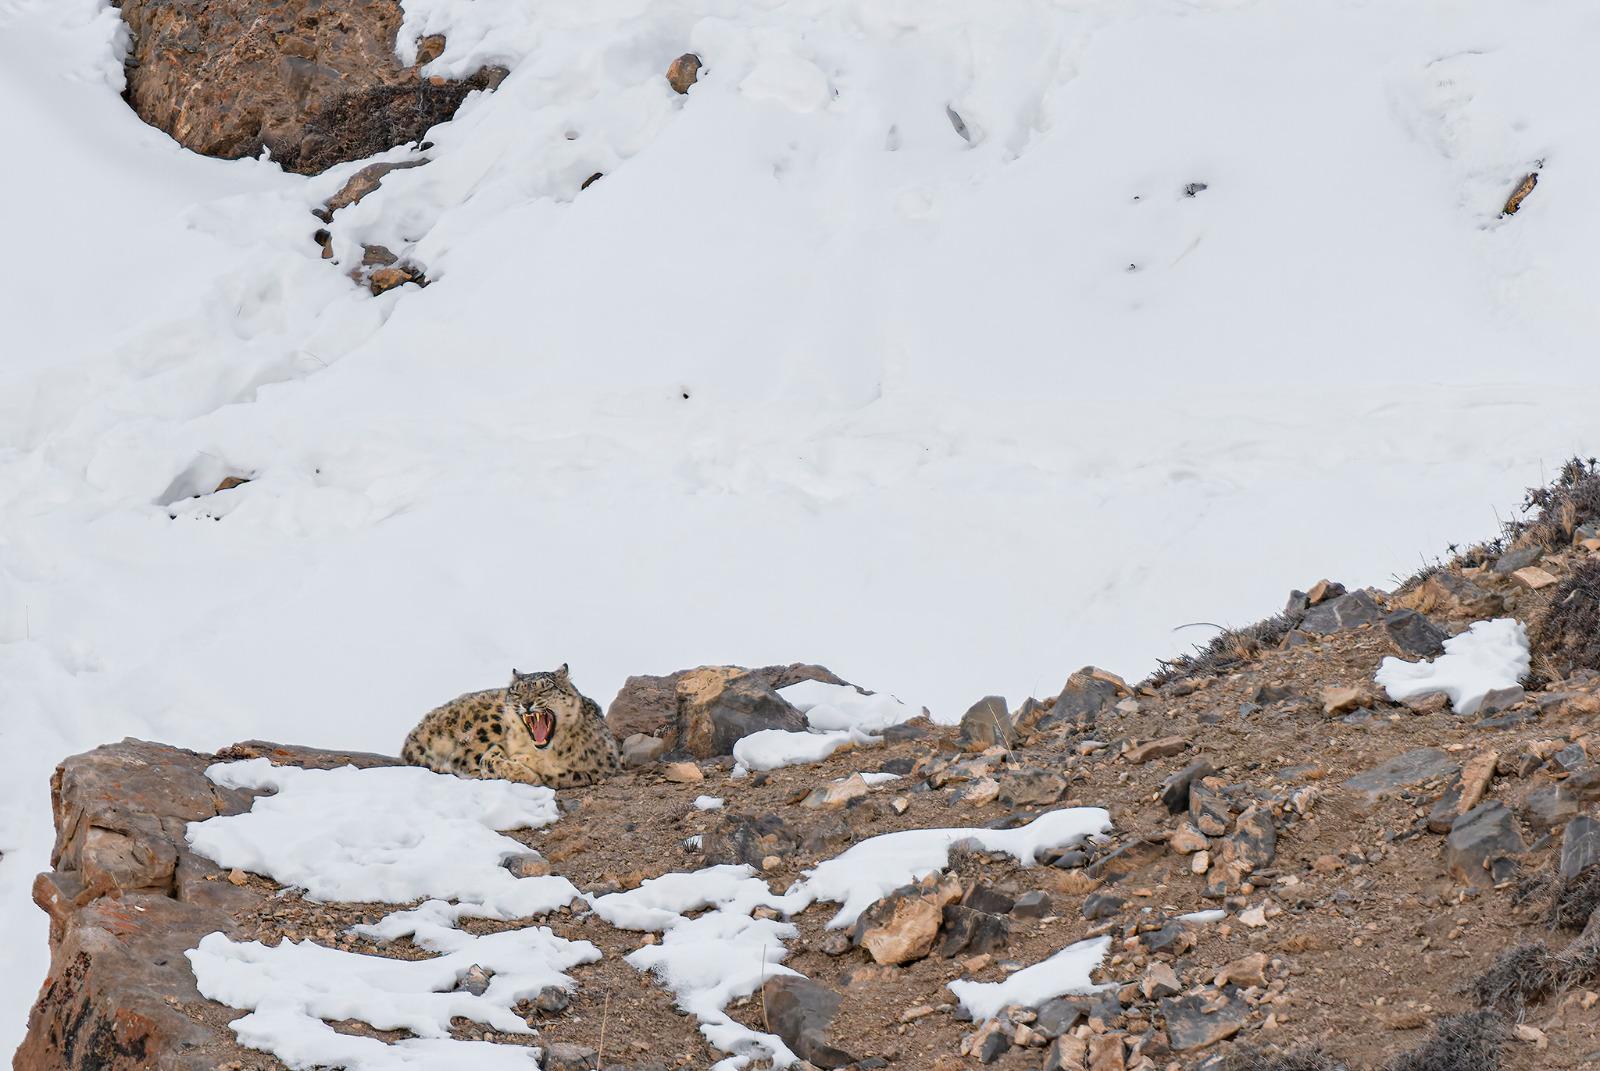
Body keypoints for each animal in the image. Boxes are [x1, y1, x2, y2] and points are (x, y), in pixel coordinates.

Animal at [400, 664, 621, 788]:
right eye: (517, 691)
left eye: (545, 689)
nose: (526, 703)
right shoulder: (496, 747)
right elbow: (489, 760)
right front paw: (522, 768)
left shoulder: (602, 762)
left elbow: (560, 772)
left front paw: (525, 763)